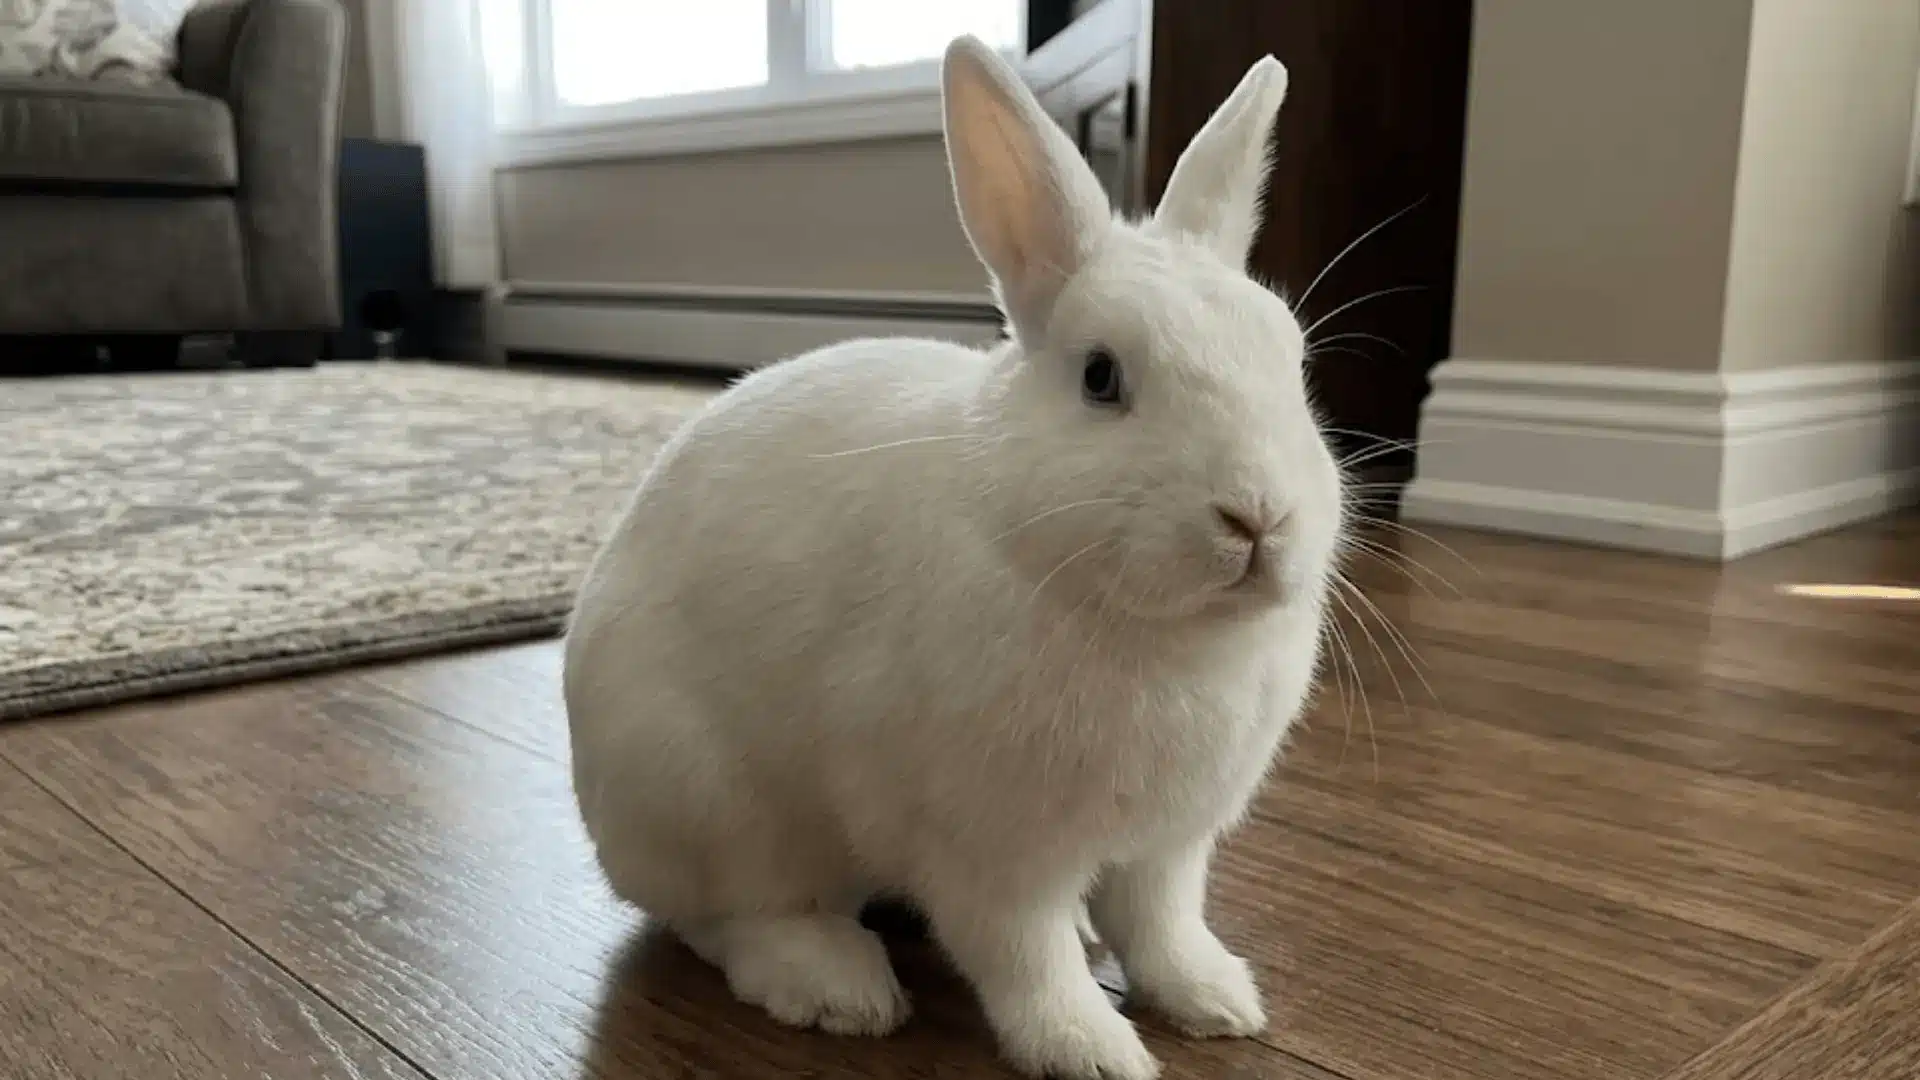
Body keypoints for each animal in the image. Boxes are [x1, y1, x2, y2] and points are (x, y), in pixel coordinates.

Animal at [563, 33, 1343, 1080]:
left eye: (1293, 363)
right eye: (1101, 377)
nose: (1258, 517)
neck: (1161, 632)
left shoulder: (1168, 849)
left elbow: (1163, 928)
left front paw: (1218, 1002)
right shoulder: (990, 852)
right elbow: (1024, 957)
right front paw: (1092, 1051)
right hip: (712, 803)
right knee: (728, 919)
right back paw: (837, 986)